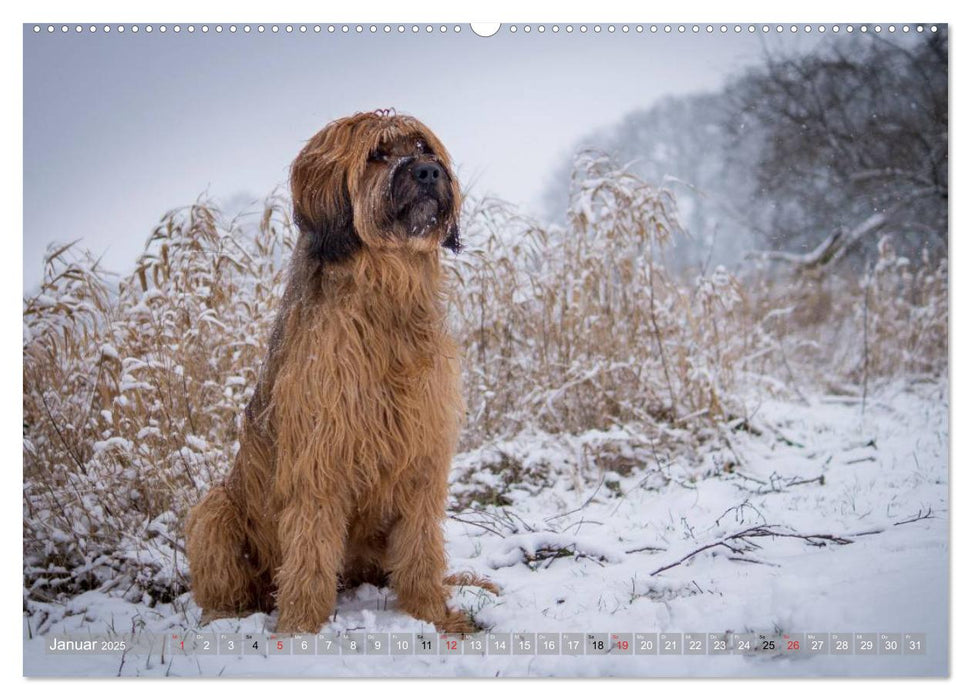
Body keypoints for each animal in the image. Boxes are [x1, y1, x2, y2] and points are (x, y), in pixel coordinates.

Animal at [185, 109, 494, 636]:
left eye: (424, 147)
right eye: (377, 154)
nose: (428, 172)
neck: (385, 297)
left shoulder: (423, 454)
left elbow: (420, 546)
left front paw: (434, 615)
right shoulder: (319, 460)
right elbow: (309, 552)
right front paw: (300, 631)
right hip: (216, 511)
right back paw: (226, 616)